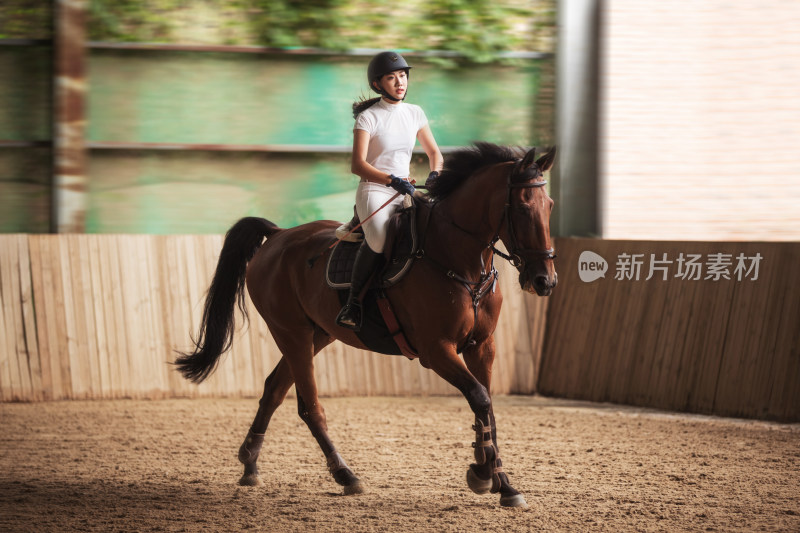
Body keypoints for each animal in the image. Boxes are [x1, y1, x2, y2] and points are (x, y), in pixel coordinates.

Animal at [177, 141, 556, 508]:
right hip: (292, 333)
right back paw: (345, 474)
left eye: (550, 205)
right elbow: (479, 397)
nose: (544, 281)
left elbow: (487, 407)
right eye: (523, 208)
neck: (459, 262)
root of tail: (279, 234)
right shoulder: (436, 350)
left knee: (274, 389)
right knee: (310, 406)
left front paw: (498, 480)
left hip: (318, 334)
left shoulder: (482, 346)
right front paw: (486, 475)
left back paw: (250, 463)